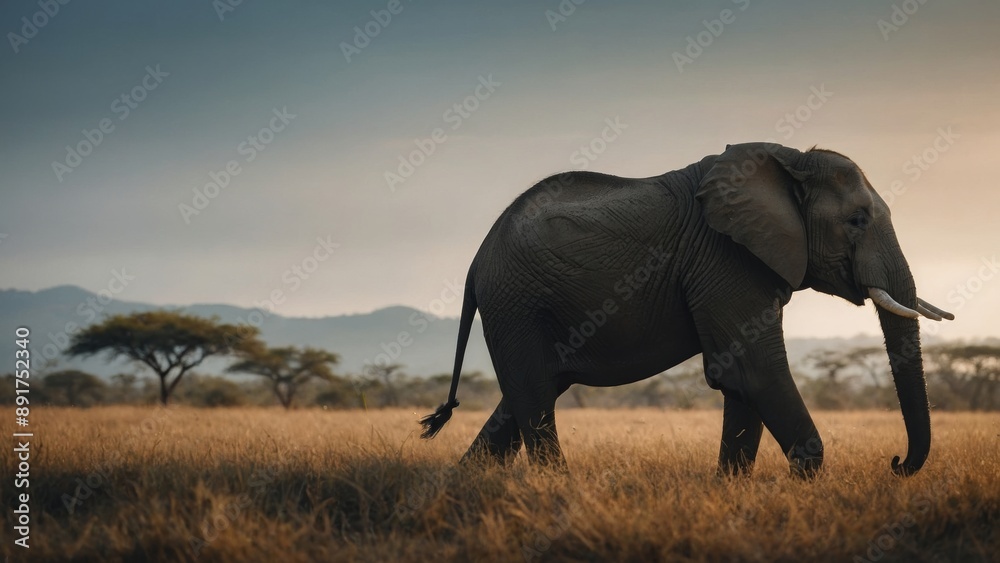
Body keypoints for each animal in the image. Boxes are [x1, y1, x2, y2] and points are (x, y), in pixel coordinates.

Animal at [420, 142, 953, 477]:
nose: (895, 463)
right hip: (517, 303)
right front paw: (804, 481)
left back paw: (465, 484)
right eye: (857, 220)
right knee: (533, 397)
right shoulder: (725, 258)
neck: (789, 161)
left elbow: (742, 380)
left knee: (526, 395)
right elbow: (753, 371)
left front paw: (729, 491)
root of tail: (476, 260)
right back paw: (555, 488)